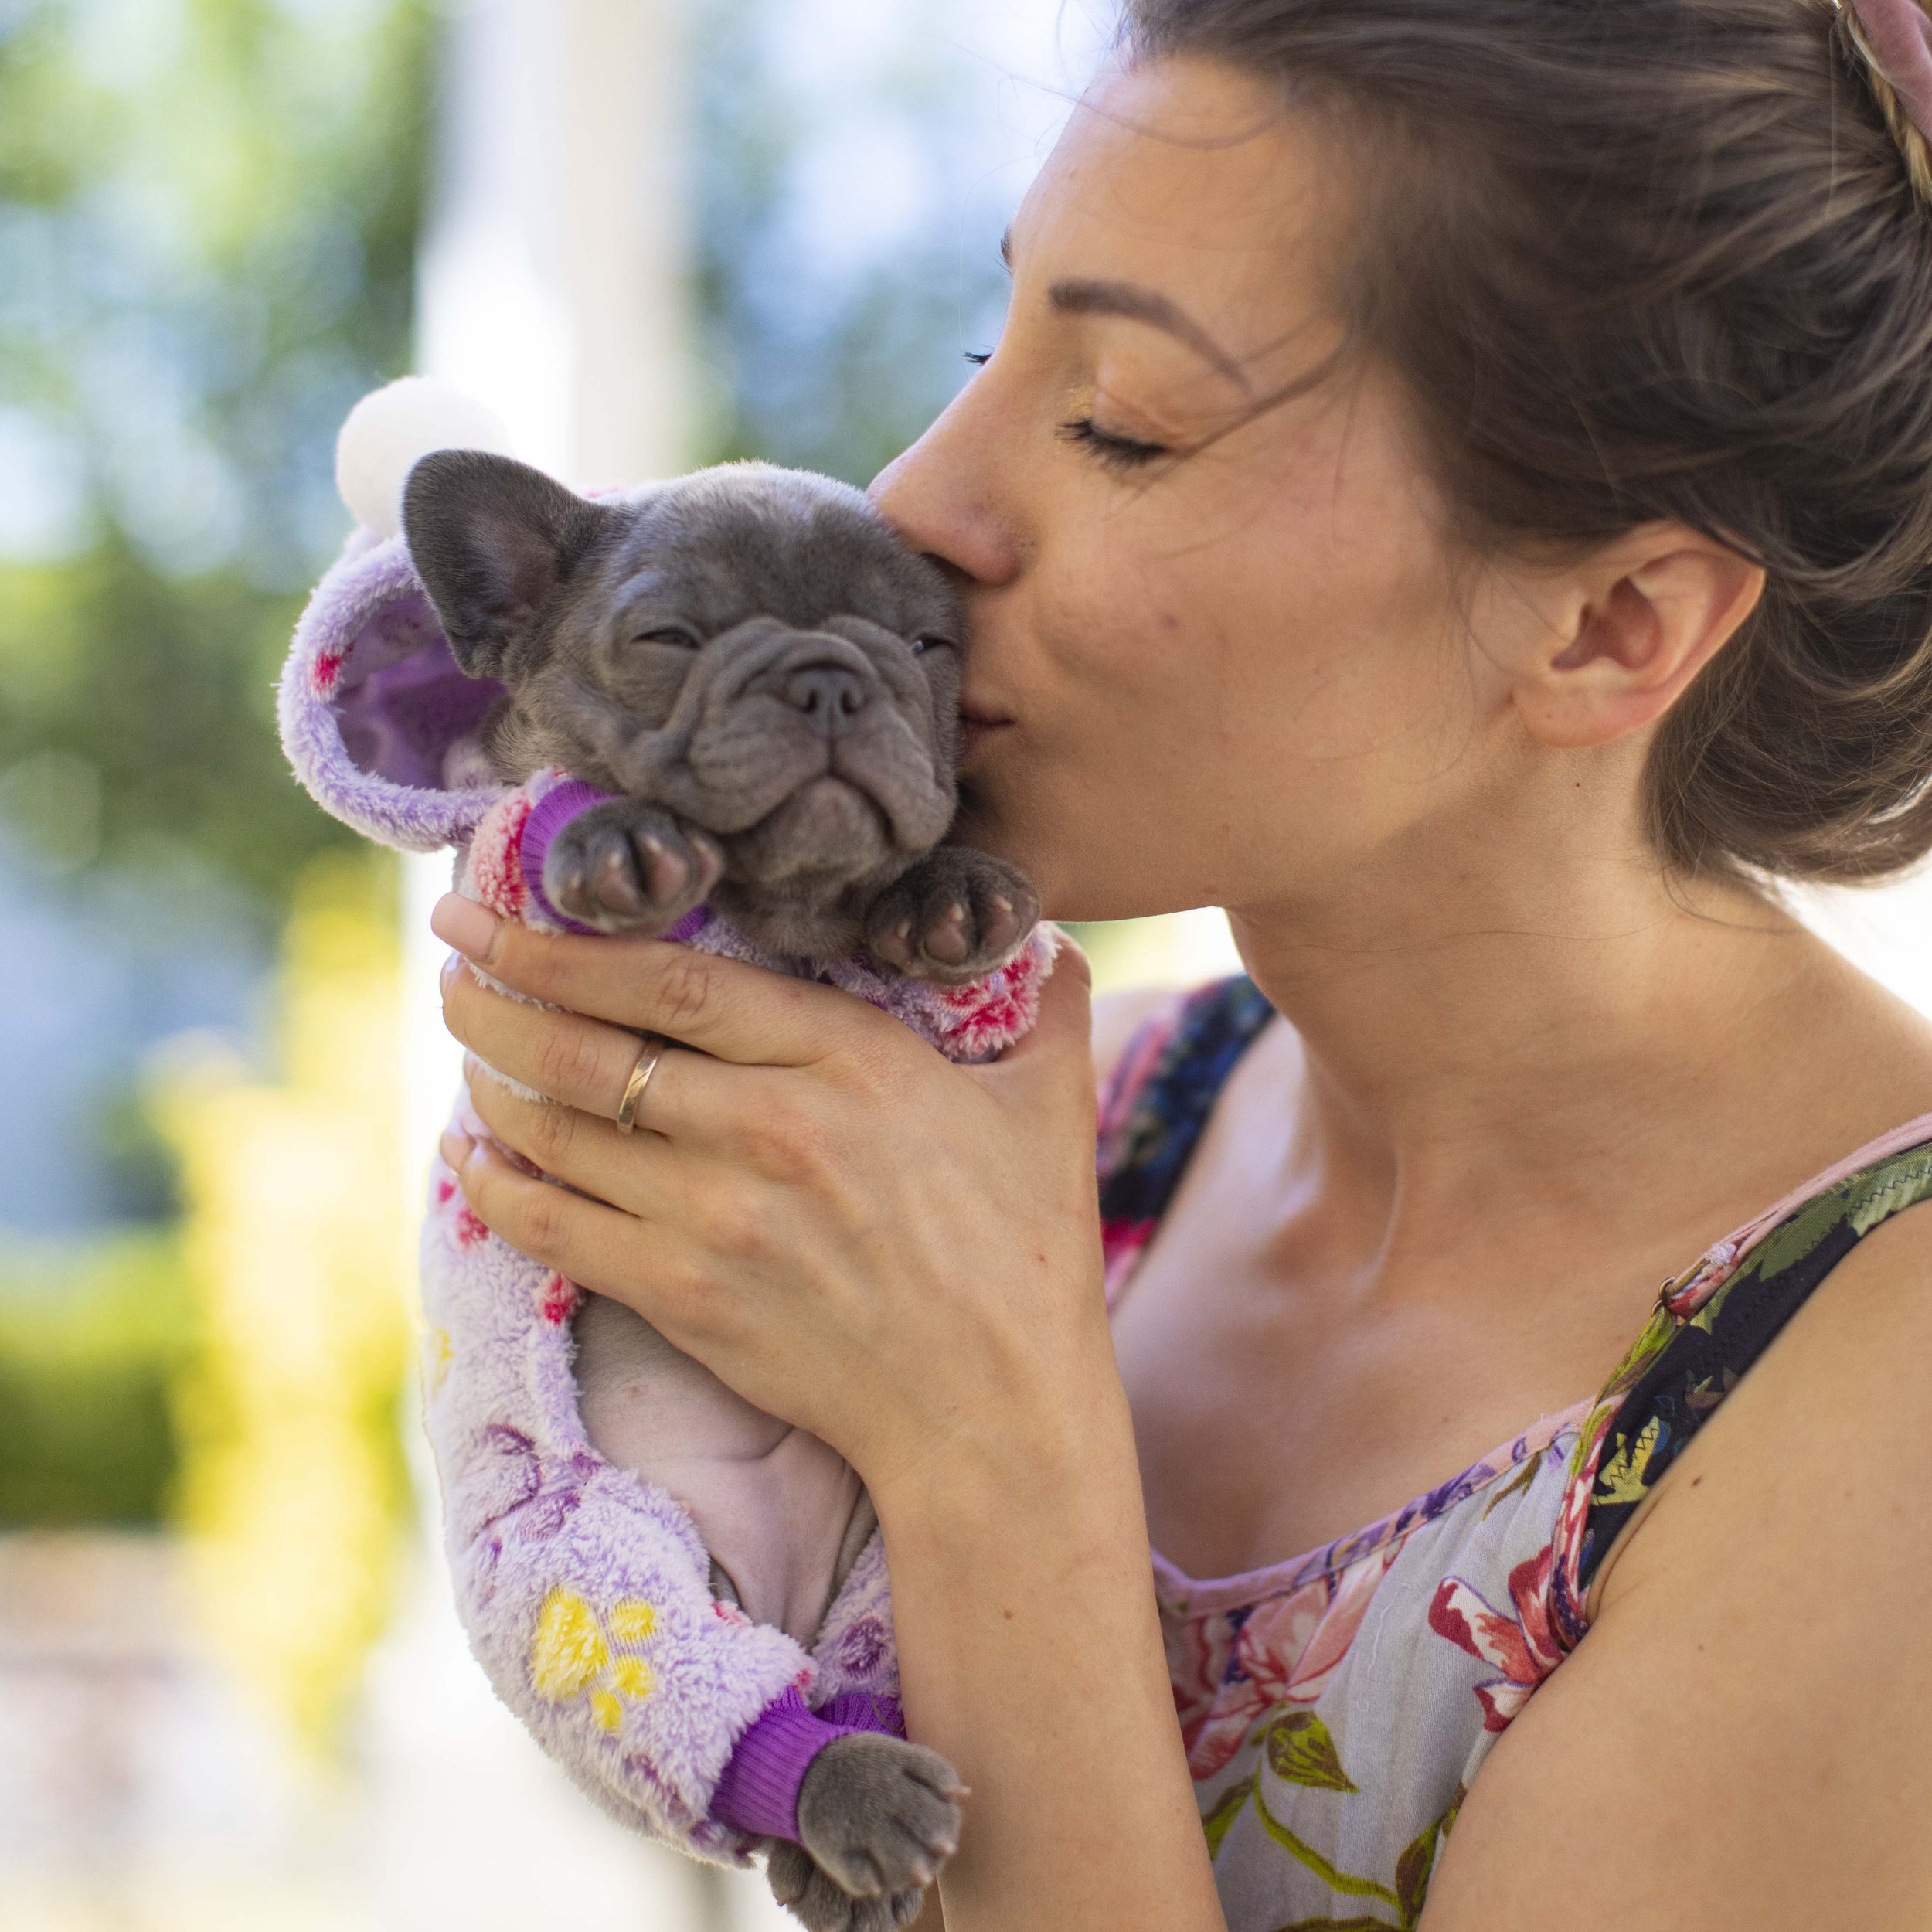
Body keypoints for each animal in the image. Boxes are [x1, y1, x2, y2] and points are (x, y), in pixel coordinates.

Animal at [403, 452, 1043, 1932]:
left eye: (930, 647)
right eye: (668, 637)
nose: (831, 680)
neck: (774, 921)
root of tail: (786, 1609)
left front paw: (947, 894)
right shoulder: (513, 958)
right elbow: (557, 833)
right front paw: (612, 843)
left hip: (900, 1564)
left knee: (859, 1668)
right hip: (587, 1565)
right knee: (701, 1696)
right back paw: (837, 1793)